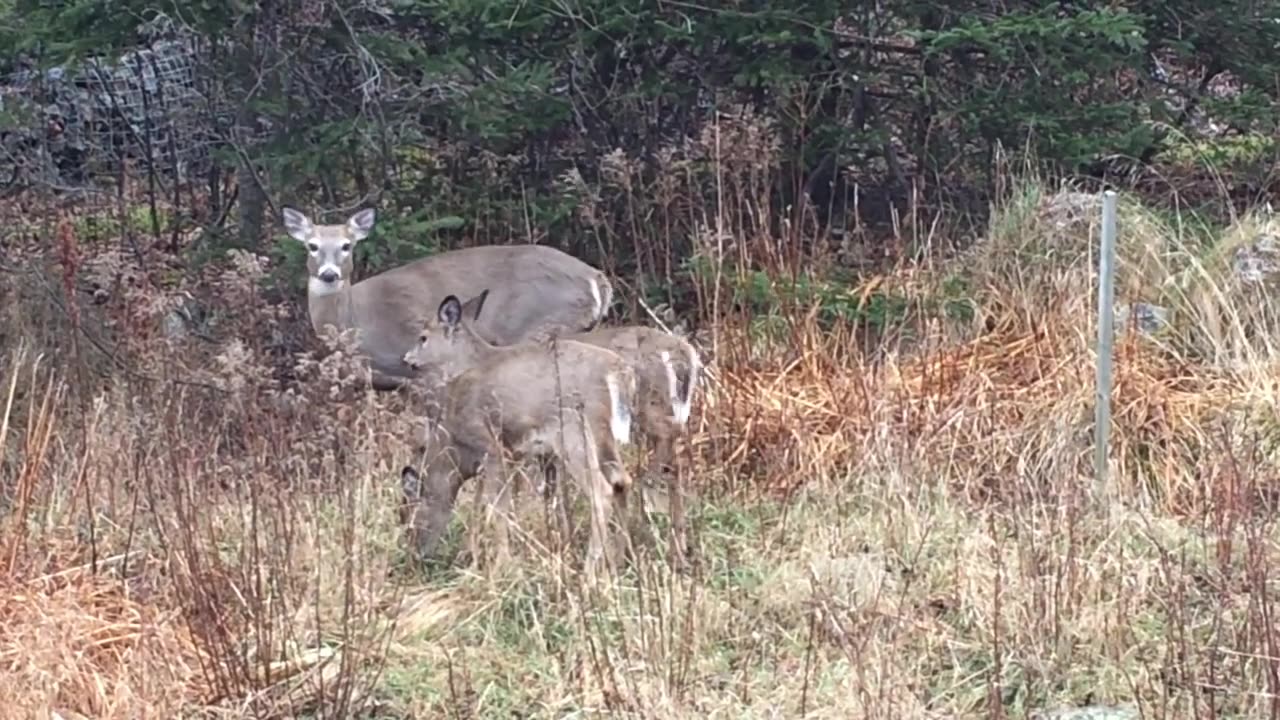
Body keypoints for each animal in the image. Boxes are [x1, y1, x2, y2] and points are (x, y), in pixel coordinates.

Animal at [280, 206, 614, 391]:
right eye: (312, 246)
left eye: (347, 246)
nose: (329, 274)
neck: (354, 320)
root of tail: (596, 278)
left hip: (540, 325)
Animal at [399, 294, 639, 582]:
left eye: (423, 337)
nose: (407, 359)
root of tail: (621, 372)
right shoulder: (512, 455)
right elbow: (491, 504)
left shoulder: (492, 447)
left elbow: (493, 507)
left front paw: (497, 566)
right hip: (603, 438)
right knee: (622, 481)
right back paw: (620, 561)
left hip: (575, 435)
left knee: (602, 490)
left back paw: (590, 572)